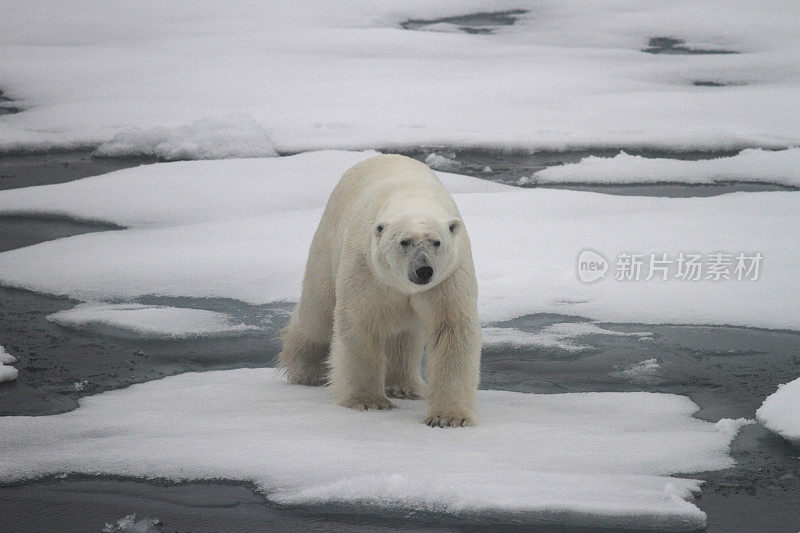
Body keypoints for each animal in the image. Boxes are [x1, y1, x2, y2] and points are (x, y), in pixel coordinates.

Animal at [280, 153, 482, 424]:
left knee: (404, 334)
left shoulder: (447, 277)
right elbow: (360, 322)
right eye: (404, 242)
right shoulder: (367, 267)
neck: (412, 196)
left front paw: (448, 418)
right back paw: (306, 369)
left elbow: (450, 329)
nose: (423, 270)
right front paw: (369, 401)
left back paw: (404, 386)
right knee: (318, 313)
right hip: (328, 241)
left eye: (436, 242)